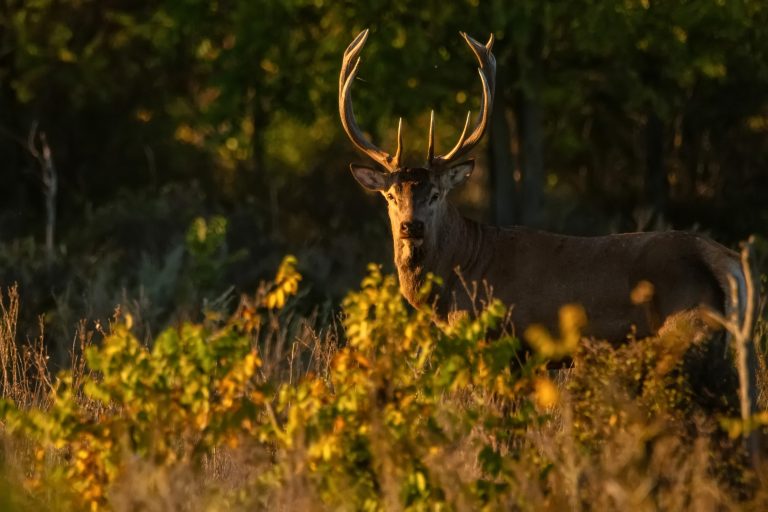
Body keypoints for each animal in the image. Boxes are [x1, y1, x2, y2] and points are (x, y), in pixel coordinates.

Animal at [339, 29, 760, 449]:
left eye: (436, 194)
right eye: (391, 196)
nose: (411, 227)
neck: (461, 277)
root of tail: (726, 262)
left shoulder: (507, 343)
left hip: (686, 333)